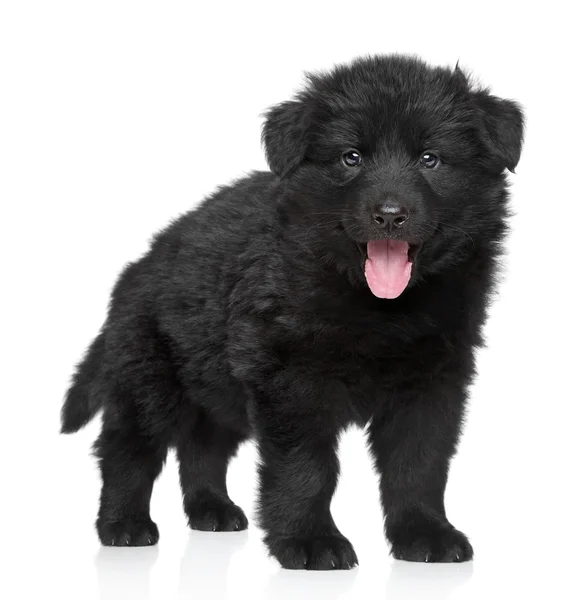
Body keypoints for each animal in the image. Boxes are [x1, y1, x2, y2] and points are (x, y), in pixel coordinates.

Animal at [61, 55, 524, 568]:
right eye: (350, 157)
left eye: (431, 159)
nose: (389, 215)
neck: (379, 307)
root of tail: (139, 266)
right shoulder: (289, 378)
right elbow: (307, 466)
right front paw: (310, 540)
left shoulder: (433, 381)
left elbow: (419, 464)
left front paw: (425, 533)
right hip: (150, 379)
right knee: (128, 448)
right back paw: (123, 524)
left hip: (215, 383)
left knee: (202, 445)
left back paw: (212, 510)